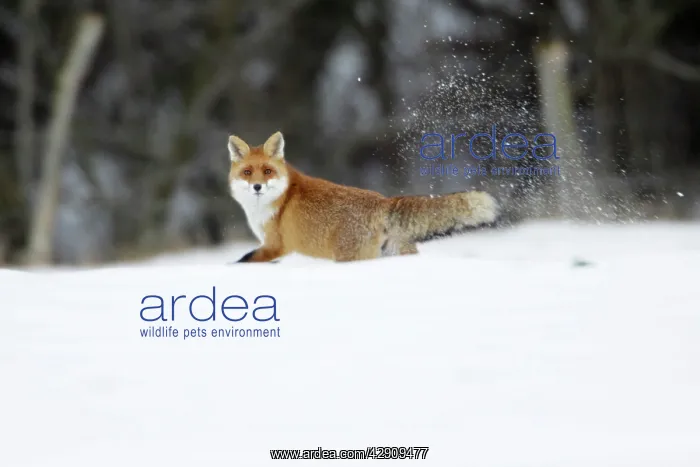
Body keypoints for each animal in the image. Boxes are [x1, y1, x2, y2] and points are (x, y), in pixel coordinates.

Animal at [228, 131, 500, 263]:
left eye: (268, 171)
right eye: (248, 172)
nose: (257, 187)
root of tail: (383, 201)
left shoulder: (276, 245)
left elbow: (243, 260)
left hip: (349, 257)